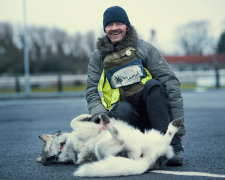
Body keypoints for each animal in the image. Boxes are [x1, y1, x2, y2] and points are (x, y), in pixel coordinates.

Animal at [36, 113, 181, 176]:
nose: (58, 131)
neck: (62, 148)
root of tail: (148, 162)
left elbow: (74, 121)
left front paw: (87, 115)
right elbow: (73, 122)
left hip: (151, 136)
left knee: (167, 139)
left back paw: (174, 126)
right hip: (101, 147)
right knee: (120, 139)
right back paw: (108, 123)